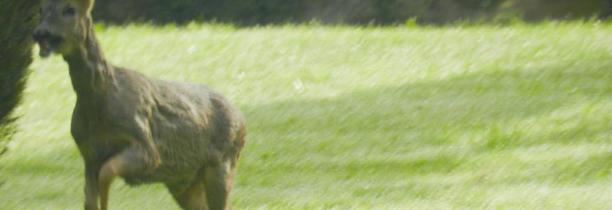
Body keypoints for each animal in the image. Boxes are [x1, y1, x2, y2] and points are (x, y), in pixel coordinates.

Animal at [31, 0, 246, 210]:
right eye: (40, 9)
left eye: (70, 9)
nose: (40, 33)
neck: (101, 102)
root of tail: (242, 120)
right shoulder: (89, 155)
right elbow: (89, 200)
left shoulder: (146, 147)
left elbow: (107, 173)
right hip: (183, 180)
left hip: (222, 163)